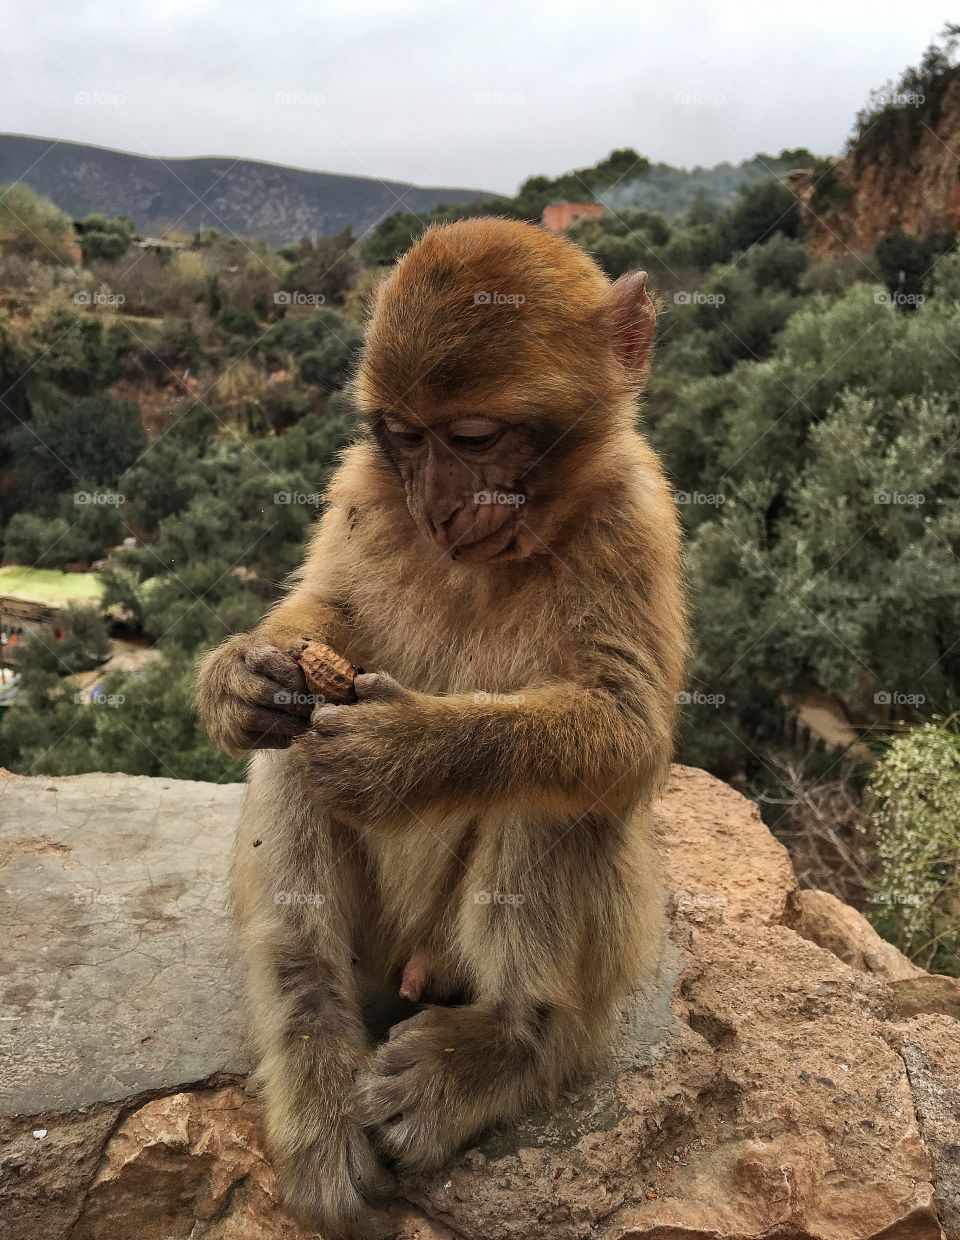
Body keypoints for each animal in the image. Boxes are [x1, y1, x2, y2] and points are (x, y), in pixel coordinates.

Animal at [195, 216, 687, 1239]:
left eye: (472, 437)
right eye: (403, 437)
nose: (436, 504)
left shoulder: (637, 513)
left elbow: (623, 725)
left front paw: (403, 751)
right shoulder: (360, 486)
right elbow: (327, 624)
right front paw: (240, 676)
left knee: (554, 792)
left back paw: (510, 1043)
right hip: (378, 947)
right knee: (293, 757)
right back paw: (312, 1034)